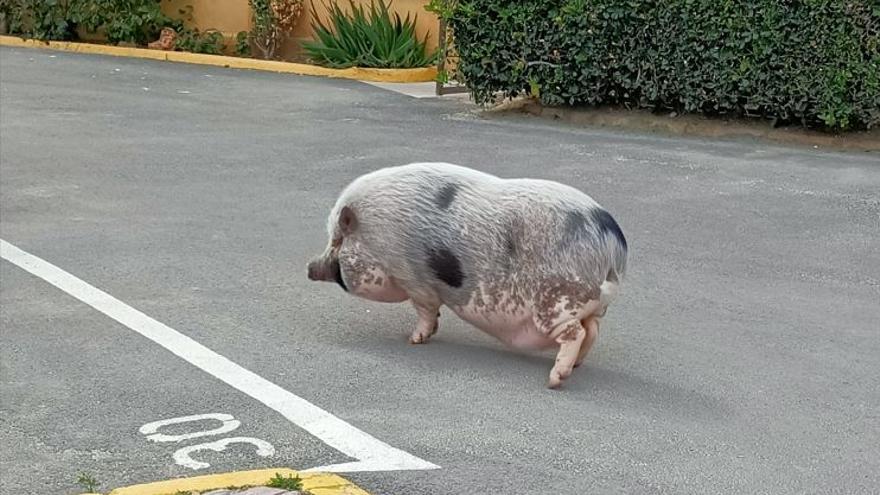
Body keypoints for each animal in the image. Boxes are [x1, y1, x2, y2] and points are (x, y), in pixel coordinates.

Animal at [310, 163, 624, 388]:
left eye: (337, 240)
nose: (310, 267)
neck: (375, 238)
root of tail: (612, 246)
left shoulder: (414, 278)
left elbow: (426, 310)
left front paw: (414, 340)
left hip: (556, 303)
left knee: (576, 333)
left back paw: (554, 380)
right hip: (585, 306)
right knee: (592, 330)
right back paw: (576, 367)